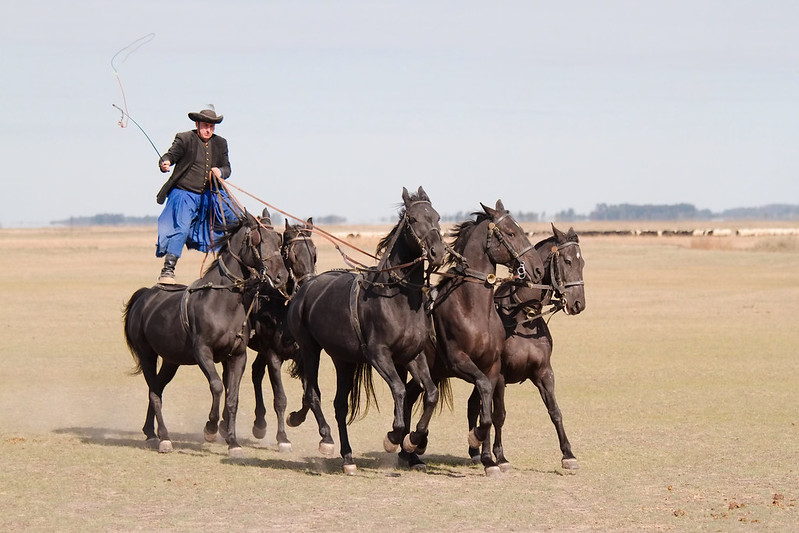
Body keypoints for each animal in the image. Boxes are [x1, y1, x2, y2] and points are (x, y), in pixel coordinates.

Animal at [123, 214, 290, 456]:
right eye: (258, 239)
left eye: (279, 239)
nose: (281, 276)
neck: (223, 302)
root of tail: (145, 295)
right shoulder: (202, 352)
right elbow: (217, 386)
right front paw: (210, 428)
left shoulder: (237, 356)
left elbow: (232, 397)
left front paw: (233, 442)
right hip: (147, 355)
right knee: (154, 393)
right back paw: (164, 438)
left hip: (171, 360)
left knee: (158, 389)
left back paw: (150, 432)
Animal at [250, 216, 316, 448]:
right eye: (294, 254)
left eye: (314, 254)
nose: (308, 286)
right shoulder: (273, 355)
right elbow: (280, 398)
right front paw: (282, 437)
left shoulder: (302, 355)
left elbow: (308, 396)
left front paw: (295, 418)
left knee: (256, 372)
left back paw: (259, 423)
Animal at [288, 187, 446, 474]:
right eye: (413, 219)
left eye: (437, 217)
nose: (437, 252)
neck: (396, 296)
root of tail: (306, 287)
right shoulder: (378, 355)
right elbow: (399, 390)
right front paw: (393, 437)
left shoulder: (413, 356)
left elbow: (430, 394)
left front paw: (413, 440)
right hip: (310, 349)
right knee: (312, 393)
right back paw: (325, 439)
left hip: (343, 360)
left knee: (340, 405)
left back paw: (348, 457)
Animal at [404, 200, 548, 474]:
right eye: (511, 233)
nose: (537, 269)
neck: (472, 308)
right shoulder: (459, 362)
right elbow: (483, 397)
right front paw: (476, 440)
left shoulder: (492, 367)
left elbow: (487, 409)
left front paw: (489, 459)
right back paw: (411, 446)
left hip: (432, 372)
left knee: (408, 395)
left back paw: (409, 451)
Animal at [466, 223, 584, 470]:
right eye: (568, 261)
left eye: (583, 263)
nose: (579, 303)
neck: (522, 316)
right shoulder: (500, 376)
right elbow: (498, 415)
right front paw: (500, 457)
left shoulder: (544, 372)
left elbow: (555, 411)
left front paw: (568, 455)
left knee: (473, 405)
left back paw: (474, 451)